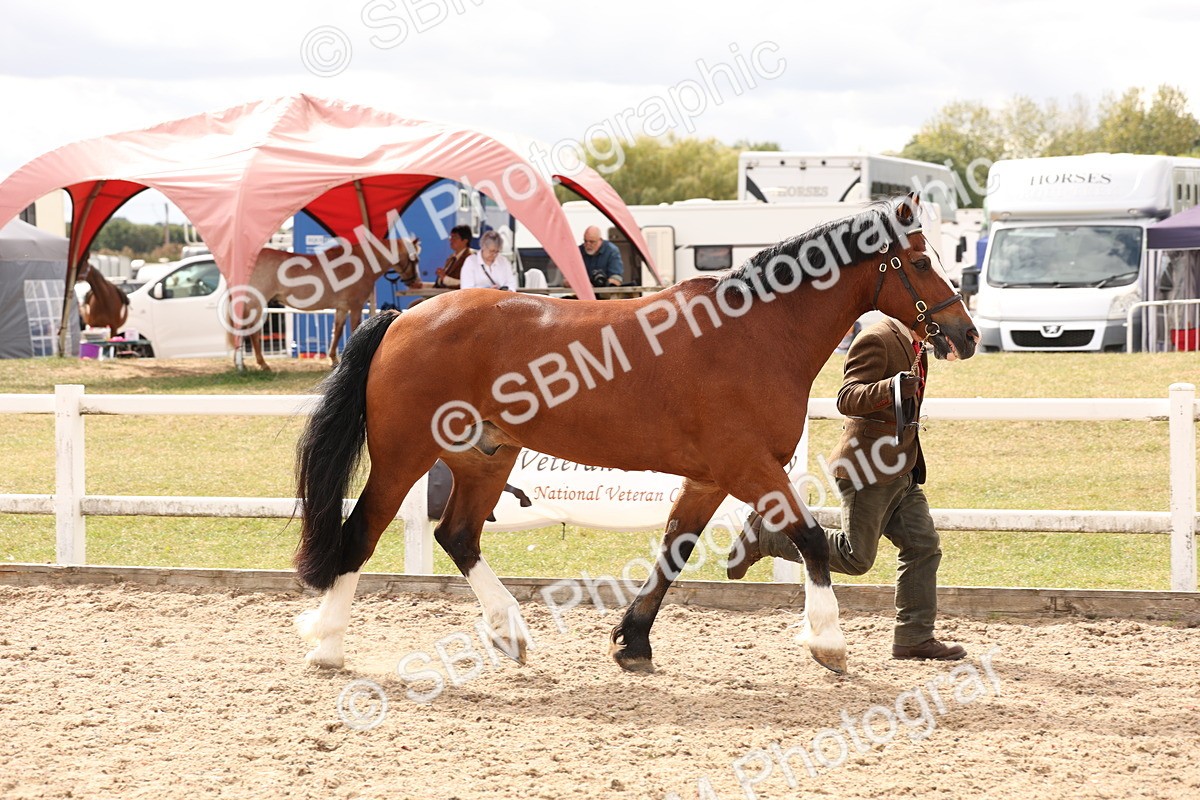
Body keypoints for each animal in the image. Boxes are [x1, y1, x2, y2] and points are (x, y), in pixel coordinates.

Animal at [230, 238, 422, 370]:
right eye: (414, 259)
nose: (417, 283)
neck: (363, 263)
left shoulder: (342, 308)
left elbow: (336, 331)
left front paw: (333, 359)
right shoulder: (356, 305)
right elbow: (353, 328)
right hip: (257, 302)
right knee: (253, 331)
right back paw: (261, 364)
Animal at [292, 194, 979, 675]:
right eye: (922, 262)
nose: (967, 334)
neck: (756, 332)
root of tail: (402, 316)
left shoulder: (710, 478)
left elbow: (675, 549)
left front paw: (633, 641)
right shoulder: (749, 467)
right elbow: (809, 539)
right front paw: (829, 643)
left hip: (486, 455)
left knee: (458, 536)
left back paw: (510, 631)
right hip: (405, 454)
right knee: (361, 534)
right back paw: (327, 646)